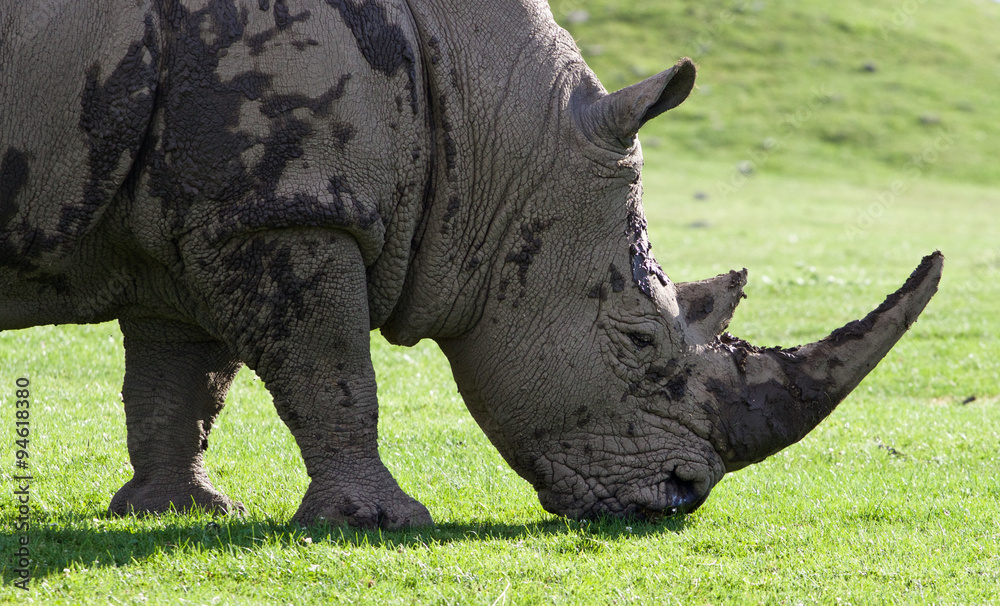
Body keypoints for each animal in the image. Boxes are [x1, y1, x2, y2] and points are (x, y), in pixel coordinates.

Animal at [1, 0, 941, 529]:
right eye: (639, 342)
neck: (481, 109)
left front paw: (179, 511)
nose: (681, 496)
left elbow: (182, 382)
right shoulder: (292, 210)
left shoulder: (212, 211)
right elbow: (332, 371)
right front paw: (381, 523)